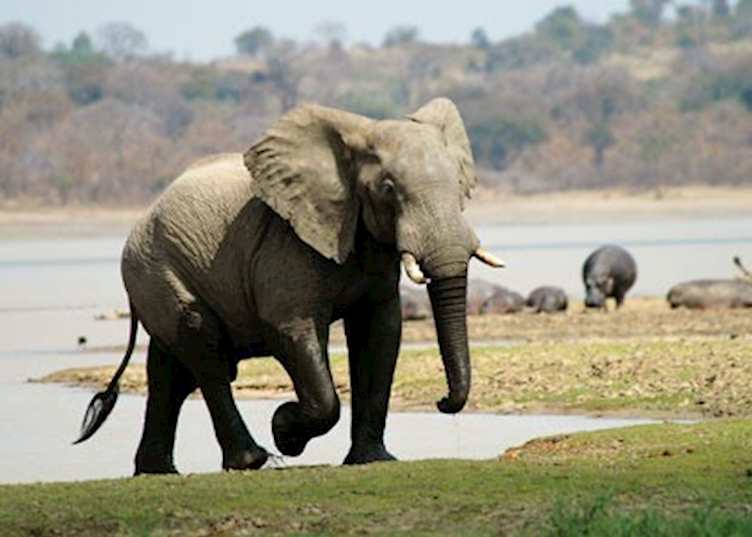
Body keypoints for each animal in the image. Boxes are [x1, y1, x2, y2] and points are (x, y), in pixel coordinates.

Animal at [74, 98, 505, 474]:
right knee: (204, 352)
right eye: (387, 189)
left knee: (170, 370)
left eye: (460, 185)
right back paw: (250, 460)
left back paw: (157, 471)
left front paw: (374, 460)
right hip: (156, 270)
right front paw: (284, 430)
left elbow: (380, 332)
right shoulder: (287, 244)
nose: (442, 400)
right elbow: (293, 330)